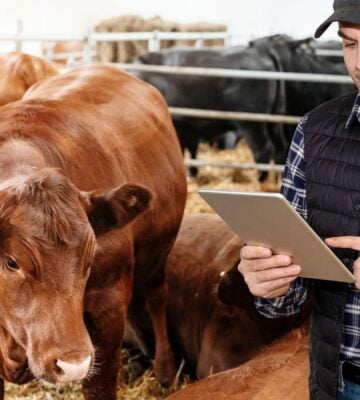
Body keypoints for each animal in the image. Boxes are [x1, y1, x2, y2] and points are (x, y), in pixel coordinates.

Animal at [0, 64, 186, 398]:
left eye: (89, 257)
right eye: (11, 262)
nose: (72, 364)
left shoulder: (107, 306)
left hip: (158, 254)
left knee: (156, 296)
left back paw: (165, 371)